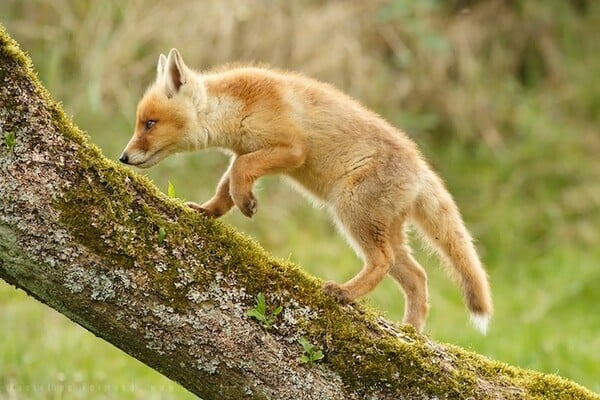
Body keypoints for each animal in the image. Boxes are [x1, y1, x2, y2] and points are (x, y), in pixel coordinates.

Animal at [118, 47, 492, 334]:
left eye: (149, 124)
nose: (123, 157)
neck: (239, 105)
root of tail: (421, 169)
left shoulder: (290, 150)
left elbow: (239, 173)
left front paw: (247, 203)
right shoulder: (245, 151)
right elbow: (227, 184)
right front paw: (210, 210)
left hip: (353, 214)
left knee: (382, 262)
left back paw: (345, 293)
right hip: (384, 228)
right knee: (417, 277)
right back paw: (411, 332)